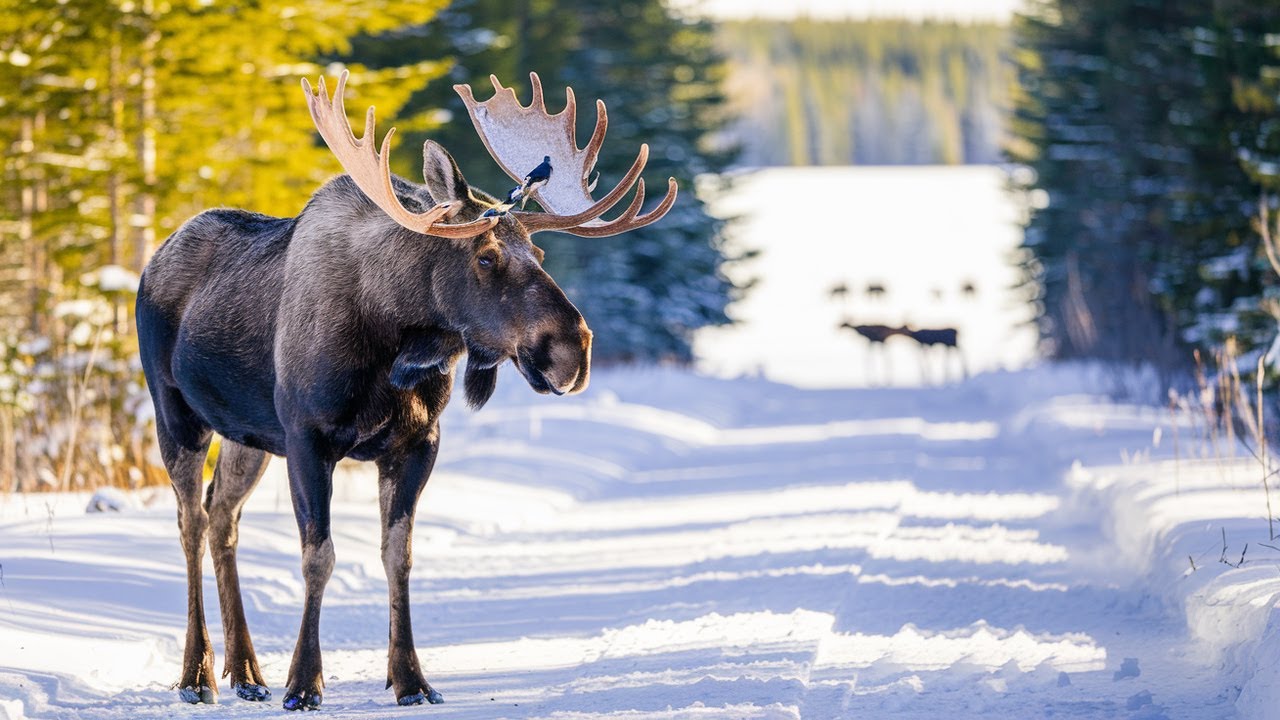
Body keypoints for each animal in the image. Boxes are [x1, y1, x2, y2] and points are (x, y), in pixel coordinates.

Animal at [135, 71, 677, 711]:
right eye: (486, 256)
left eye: (539, 252)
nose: (573, 349)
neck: (398, 340)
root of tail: (153, 259)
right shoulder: (307, 437)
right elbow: (319, 556)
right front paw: (305, 683)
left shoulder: (416, 442)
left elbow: (400, 555)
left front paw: (411, 679)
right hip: (176, 413)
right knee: (190, 521)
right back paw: (198, 676)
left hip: (246, 434)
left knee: (222, 516)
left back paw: (245, 672)